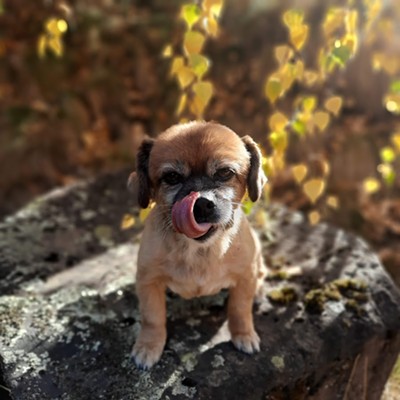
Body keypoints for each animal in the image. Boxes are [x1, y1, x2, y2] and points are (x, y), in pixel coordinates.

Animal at [128, 121, 266, 368]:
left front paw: (243, 335)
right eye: (172, 177)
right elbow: (152, 318)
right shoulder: (148, 282)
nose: (201, 204)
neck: (200, 251)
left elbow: (240, 309)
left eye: (225, 173)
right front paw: (149, 346)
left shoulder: (245, 277)